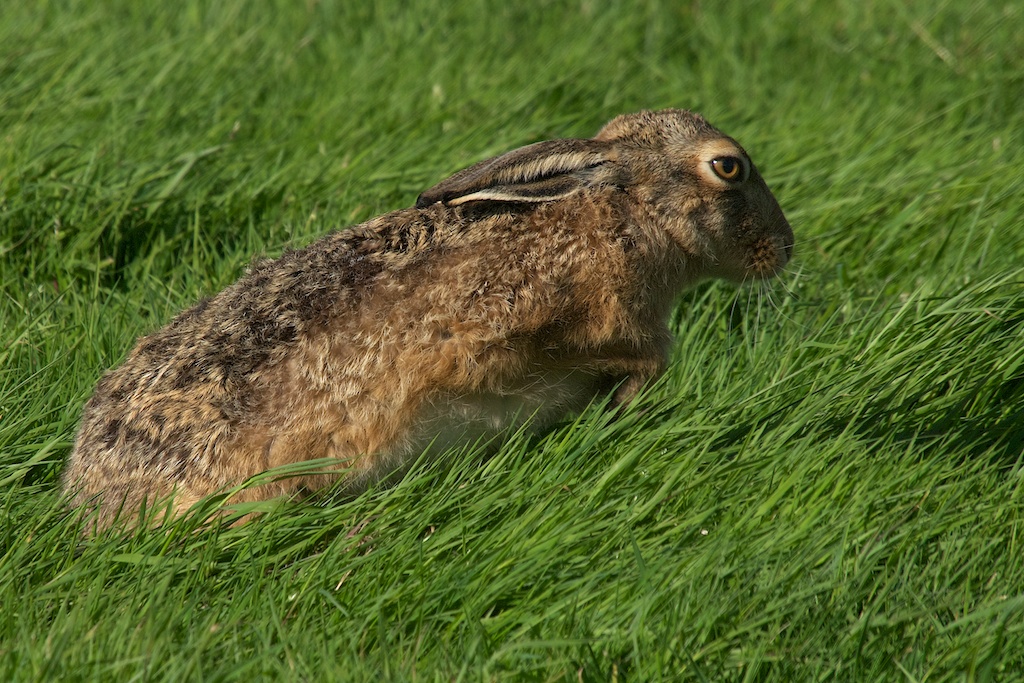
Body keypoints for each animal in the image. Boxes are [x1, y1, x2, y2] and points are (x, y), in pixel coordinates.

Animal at [63, 109, 794, 533]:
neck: (624, 212)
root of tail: (94, 503)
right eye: (728, 167)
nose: (784, 247)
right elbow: (631, 359)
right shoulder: (547, 326)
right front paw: (625, 409)